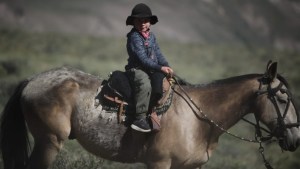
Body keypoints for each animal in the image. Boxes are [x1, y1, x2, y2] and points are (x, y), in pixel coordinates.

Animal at [0, 61, 300, 169]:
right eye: (282, 97)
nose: (295, 139)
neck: (198, 121)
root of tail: (31, 80)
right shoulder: (159, 163)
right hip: (49, 142)